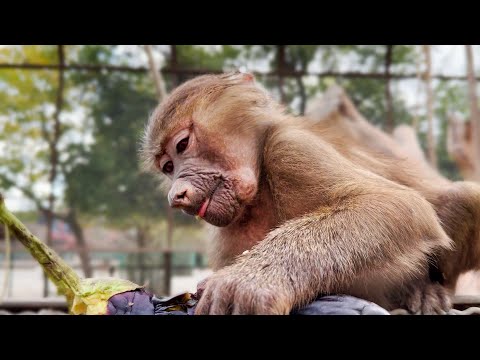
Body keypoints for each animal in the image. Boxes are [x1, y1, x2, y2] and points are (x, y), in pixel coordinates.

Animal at [140, 71, 454, 314]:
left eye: (182, 145)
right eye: (168, 167)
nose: (175, 195)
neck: (260, 192)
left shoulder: (290, 148)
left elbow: (398, 205)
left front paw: (251, 279)